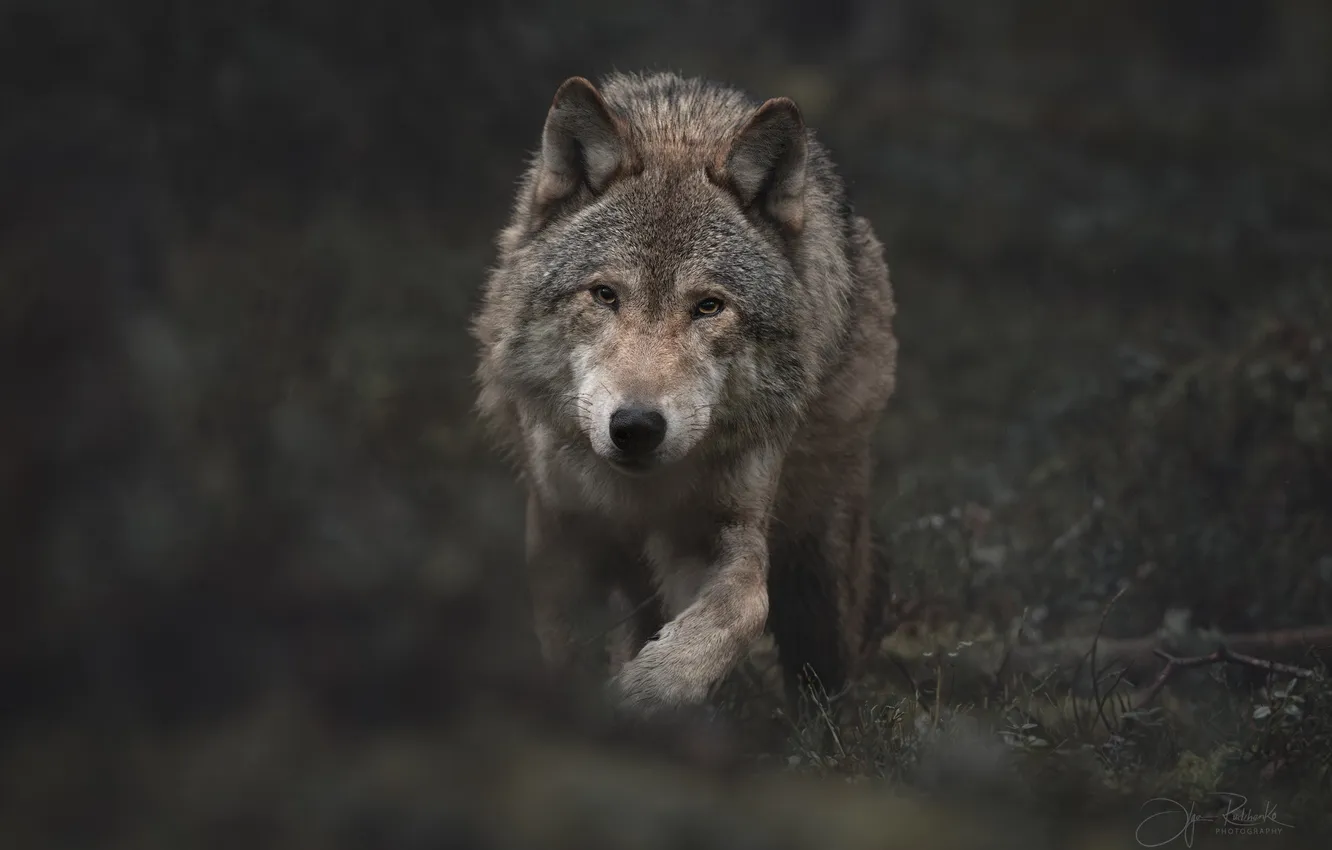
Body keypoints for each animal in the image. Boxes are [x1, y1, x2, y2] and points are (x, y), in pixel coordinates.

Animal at [473, 71, 897, 715]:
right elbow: (564, 644)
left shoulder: (723, 526)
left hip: (819, 554)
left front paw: (655, 686)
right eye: (605, 295)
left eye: (709, 306)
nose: (636, 427)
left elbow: (745, 606)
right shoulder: (558, 525)